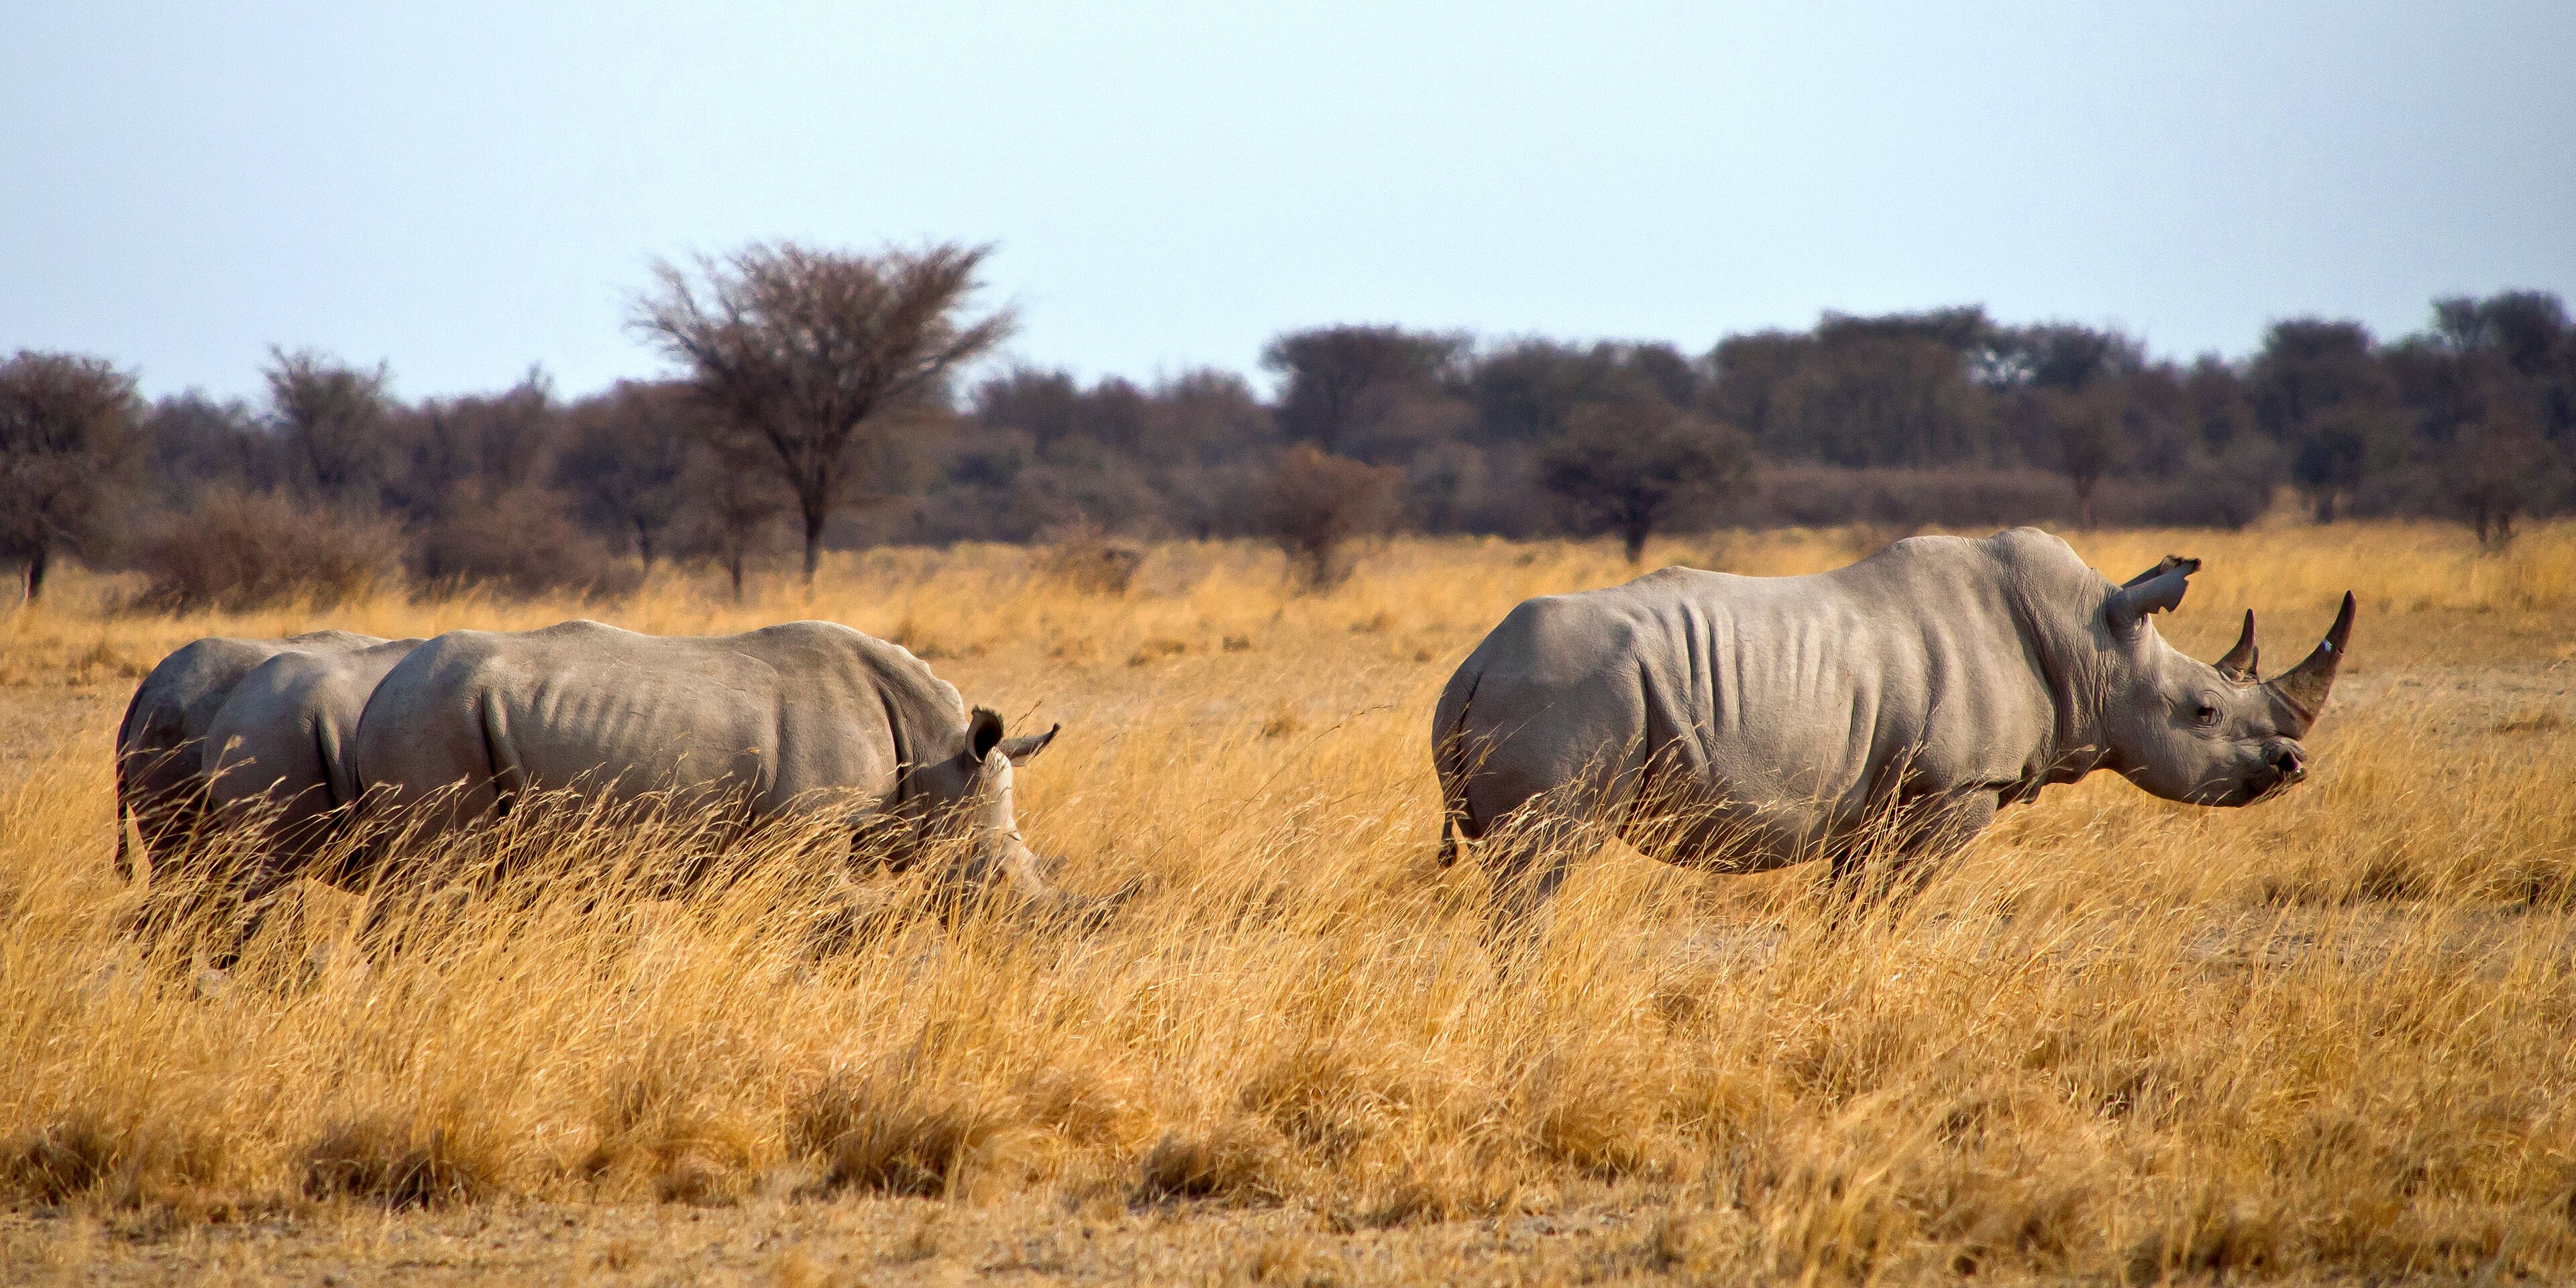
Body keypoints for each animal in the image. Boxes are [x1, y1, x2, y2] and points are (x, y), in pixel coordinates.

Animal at [345, 619, 1087, 916]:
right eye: (993, 879)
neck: (938, 754)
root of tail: (376, 695)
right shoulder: (803, 840)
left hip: (436, 712)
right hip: (432, 717)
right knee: (437, 877)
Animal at [1431, 528, 2354, 933]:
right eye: (2204, 712)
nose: (2293, 764)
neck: (2090, 641)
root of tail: (1470, 667)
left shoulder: (1871, 801)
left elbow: (1851, 904)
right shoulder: (1955, 788)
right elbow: (1893, 901)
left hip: (1545, 686)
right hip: (1568, 692)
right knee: (1544, 861)